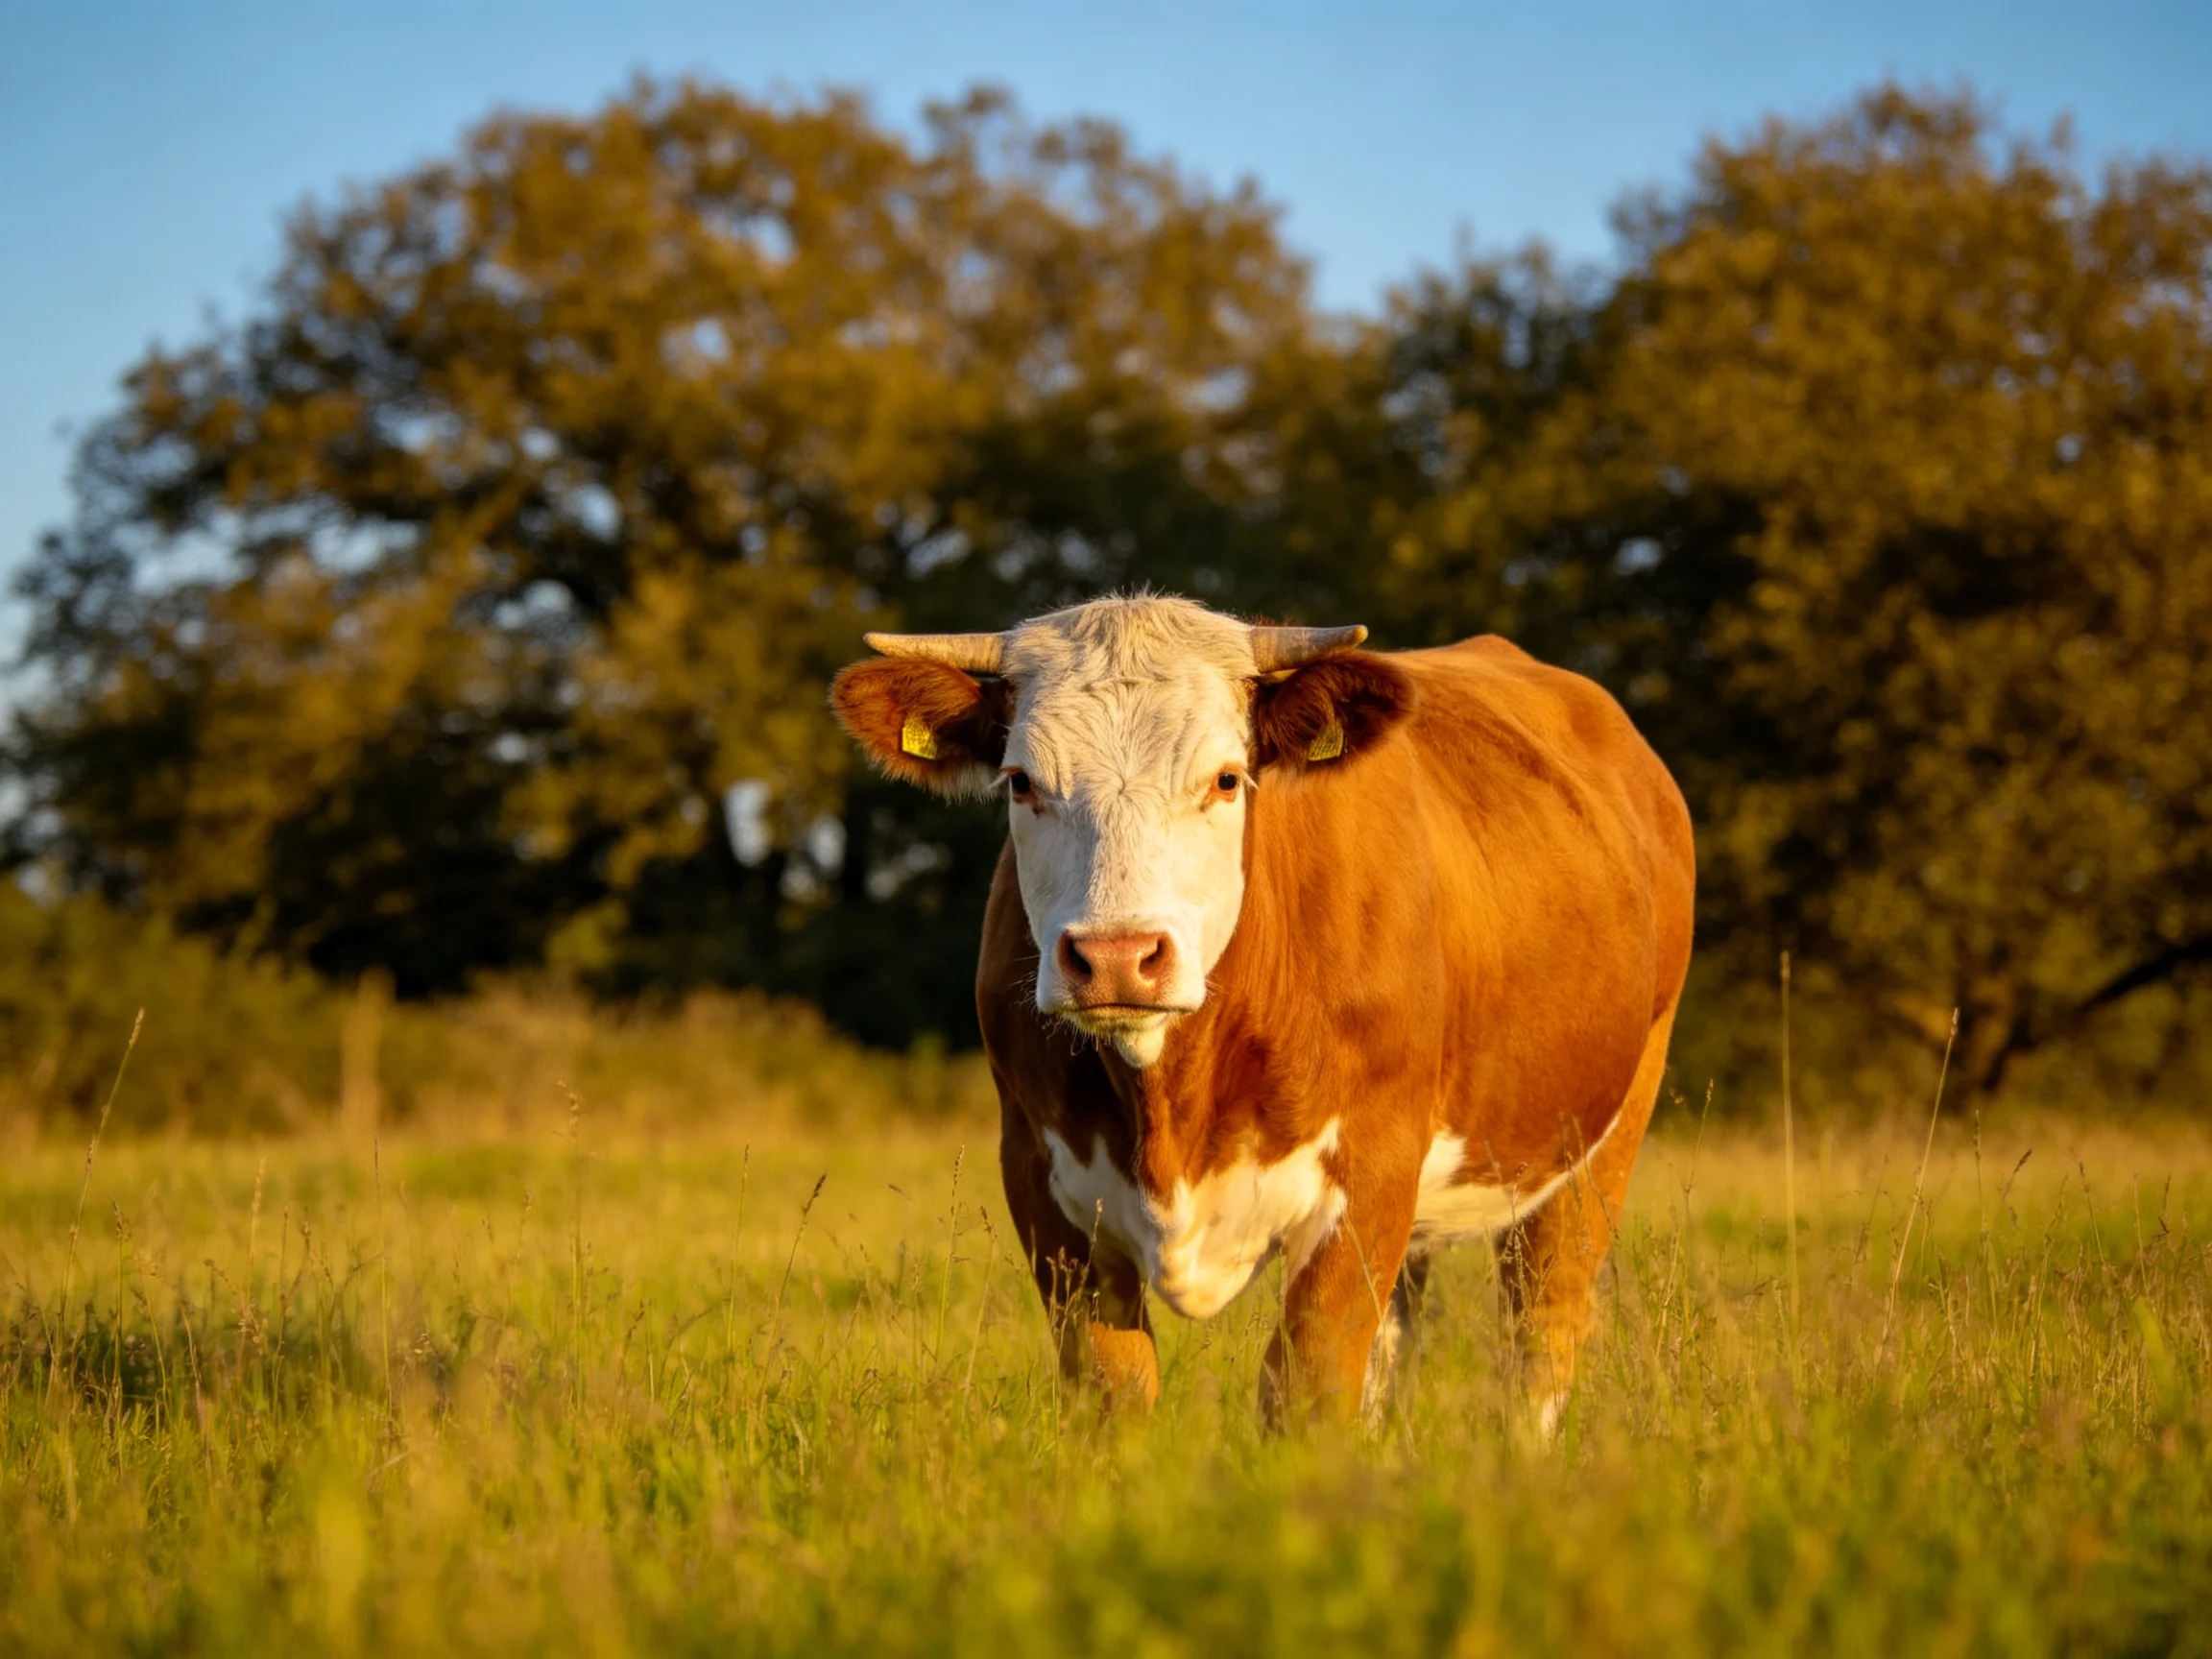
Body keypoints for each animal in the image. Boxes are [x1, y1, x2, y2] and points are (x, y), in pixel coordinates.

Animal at [830, 594, 1694, 1429]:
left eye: (1224, 778)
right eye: (1020, 781)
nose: (1117, 955)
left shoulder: (1370, 1176)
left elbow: (1308, 1389)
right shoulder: (1042, 1184)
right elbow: (1114, 1392)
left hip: (1599, 1140)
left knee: (1540, 1340)